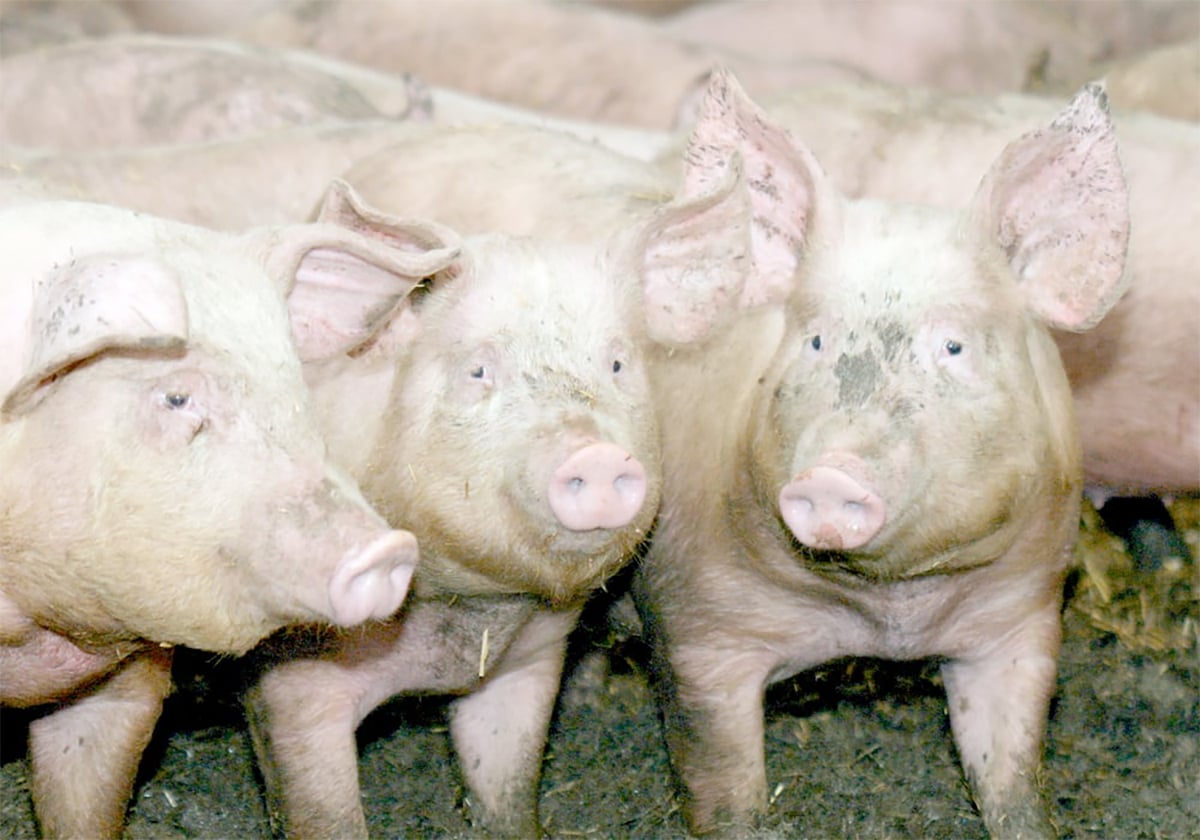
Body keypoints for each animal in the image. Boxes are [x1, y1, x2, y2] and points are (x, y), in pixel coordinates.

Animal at [243, 167, 775, 838]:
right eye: (477, 372)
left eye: (617, 363)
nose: (596, 456)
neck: (464, 614)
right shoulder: (294, 680)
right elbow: (322, 810)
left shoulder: (528, 660)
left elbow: (509, 783)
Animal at [631, 71, 1129, 838]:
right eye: (814, 341)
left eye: (953, 347)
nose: (833, 477)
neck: (890, 614)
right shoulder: (693, 623)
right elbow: (724, 785)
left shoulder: (1024, 616)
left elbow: (1012, 773)